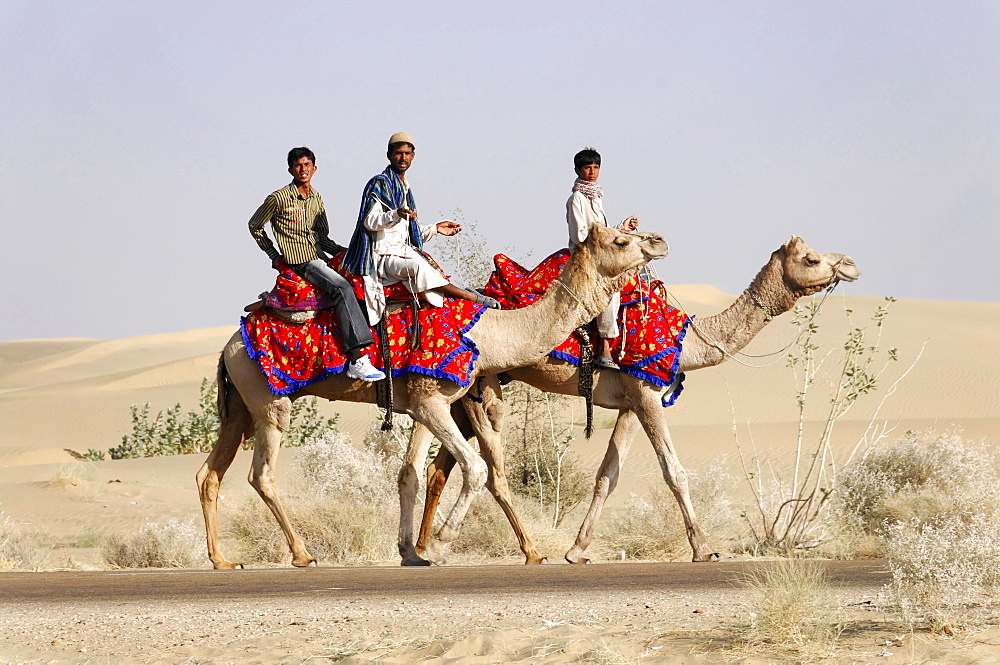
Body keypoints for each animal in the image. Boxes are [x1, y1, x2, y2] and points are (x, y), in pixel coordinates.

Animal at [195, 226, 668, 568]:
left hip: (239, 406)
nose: (659, 240)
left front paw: (417, 551)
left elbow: (431, 471)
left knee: (210, 473)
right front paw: (438, 547)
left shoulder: (435, 400)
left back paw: (222, 560)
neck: (486, 332)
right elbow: (475, 469)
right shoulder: (429, 400)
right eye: (620, 239)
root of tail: (229, 346)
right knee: (262, 473)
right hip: (269, 400)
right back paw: (302, 554)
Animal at [412, 236, 860, 564]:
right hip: (479, 391)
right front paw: (703, 548)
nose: (851, 264)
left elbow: (607, 475)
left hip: (462, 394)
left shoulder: (632, 401)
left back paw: (419, 549)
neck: (686, 341)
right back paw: (508, 551)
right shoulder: (647, 396)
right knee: (483, 467)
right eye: (811, 258)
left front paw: (577, 550)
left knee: (437, 468)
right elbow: (674, 472)